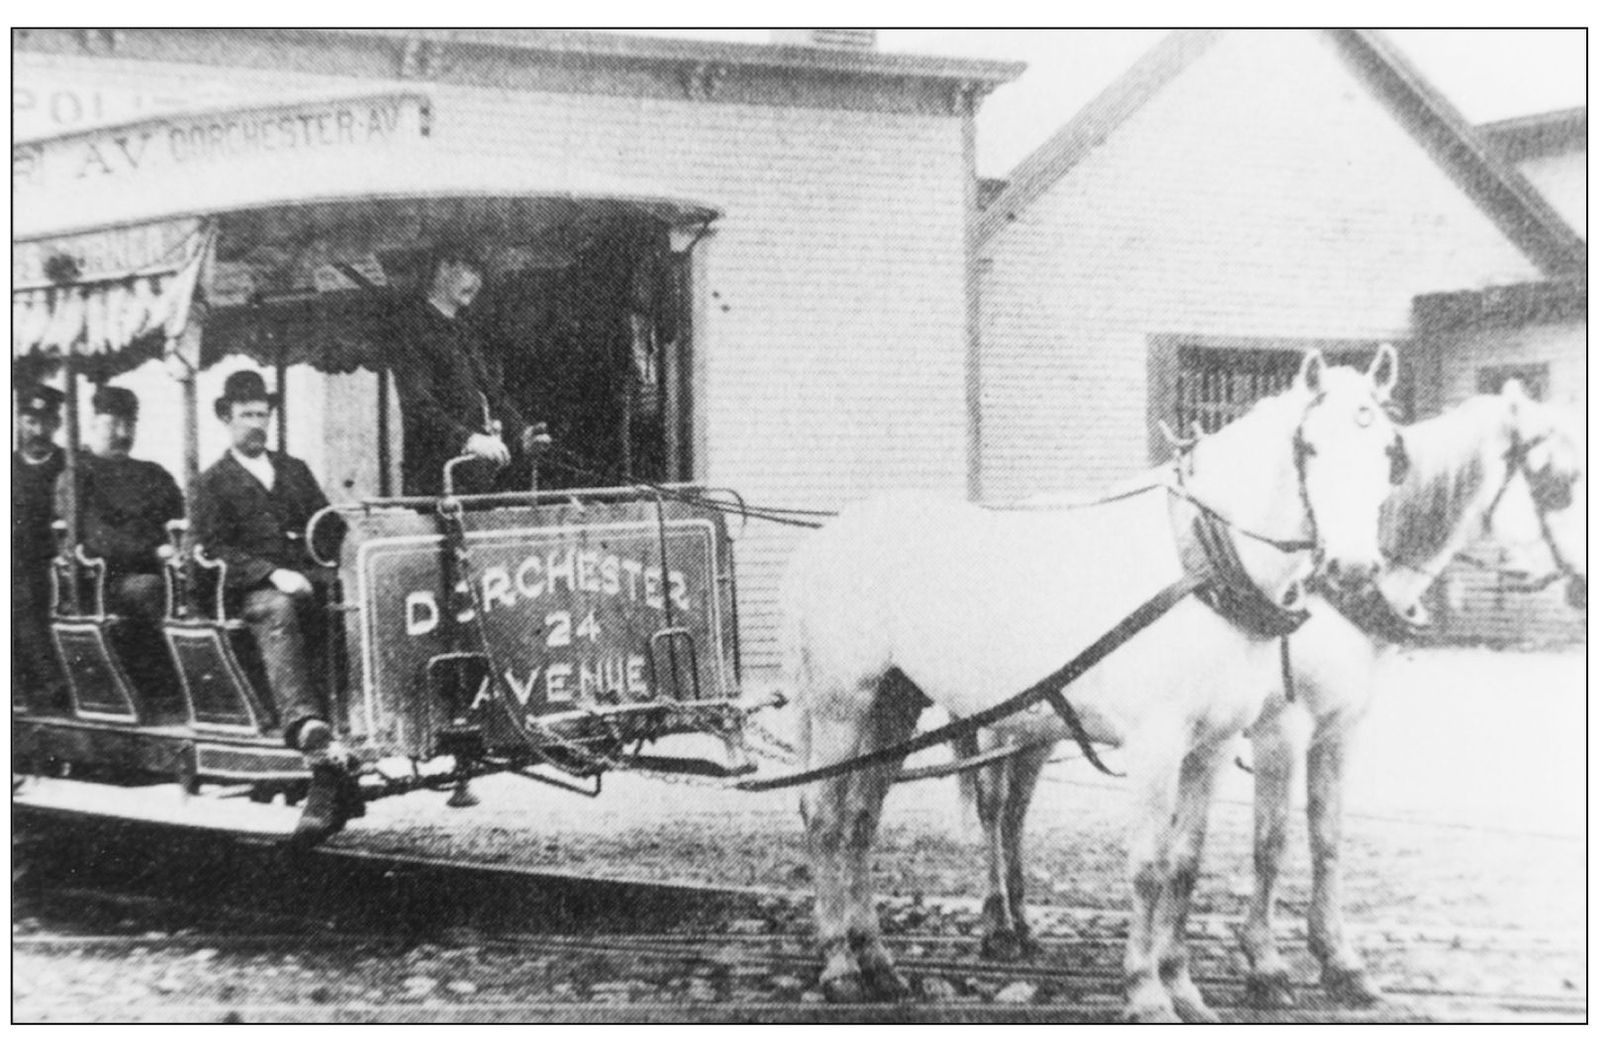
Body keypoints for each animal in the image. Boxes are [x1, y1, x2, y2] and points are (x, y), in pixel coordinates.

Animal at [785, 347, 1403, 1017]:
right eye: (1310, 447)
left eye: (1389, 452)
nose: (1354, 568)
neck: (1199, 566)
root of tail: (824, 541)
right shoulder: (1157, 744)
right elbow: (1149, 865)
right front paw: (1146, 992)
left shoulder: (1211, 747)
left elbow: (1185, 864)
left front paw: (1182, 988)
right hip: (844, 705)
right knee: (825, 820)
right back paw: (840, 964)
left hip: (895, 706)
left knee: (861, 823)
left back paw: (878, 961)